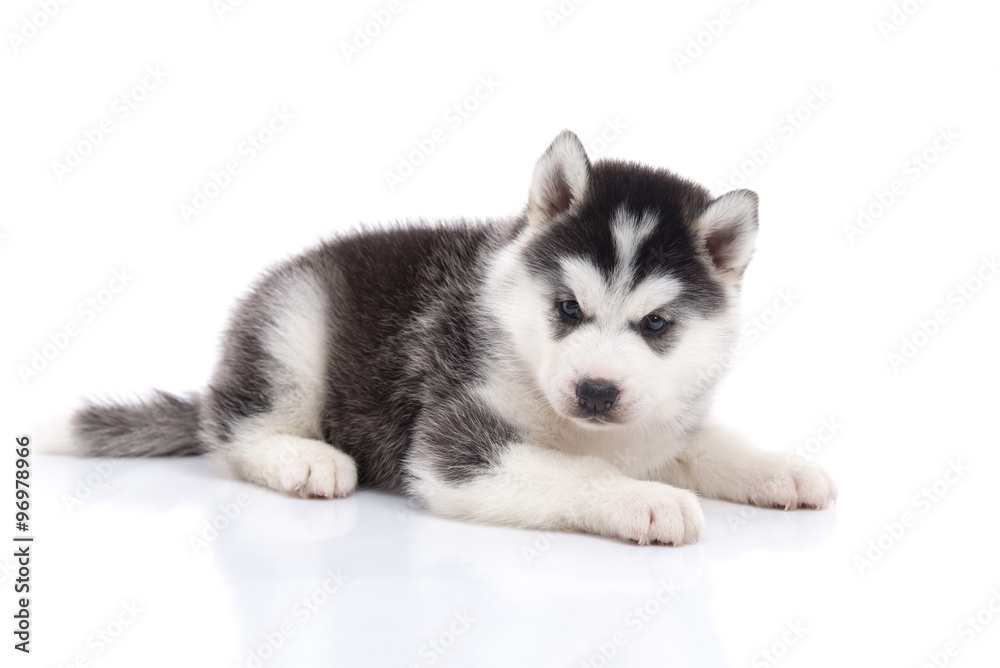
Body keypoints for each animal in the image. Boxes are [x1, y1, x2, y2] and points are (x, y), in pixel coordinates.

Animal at [72, 132, 836, 548]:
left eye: (656, 325)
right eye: (566, 307)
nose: (595, 391)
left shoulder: (662, 421)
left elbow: (711, 445)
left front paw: (780, 469)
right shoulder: (453, 439)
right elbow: (575, 473)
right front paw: (641, 500)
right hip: (292, 324)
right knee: (232, 426)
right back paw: (303, 458)